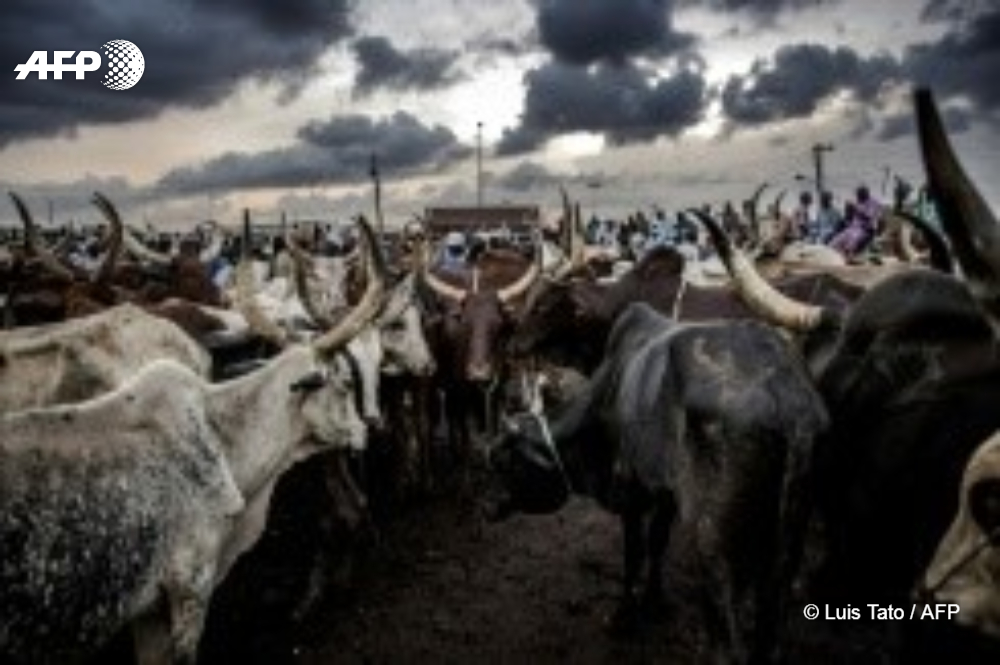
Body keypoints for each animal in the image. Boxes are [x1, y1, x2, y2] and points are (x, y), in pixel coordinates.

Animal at [487, 302, 828, 663]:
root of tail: (793, 407)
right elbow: (657, 543)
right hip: (787, 549)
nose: (486, 507)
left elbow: (634, 555)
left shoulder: (630, 491)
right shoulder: (666, 493)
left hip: (712, 546)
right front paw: (656, 602)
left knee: (725, 644)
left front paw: (624, 617)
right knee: (772, 633)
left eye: (503, 463)